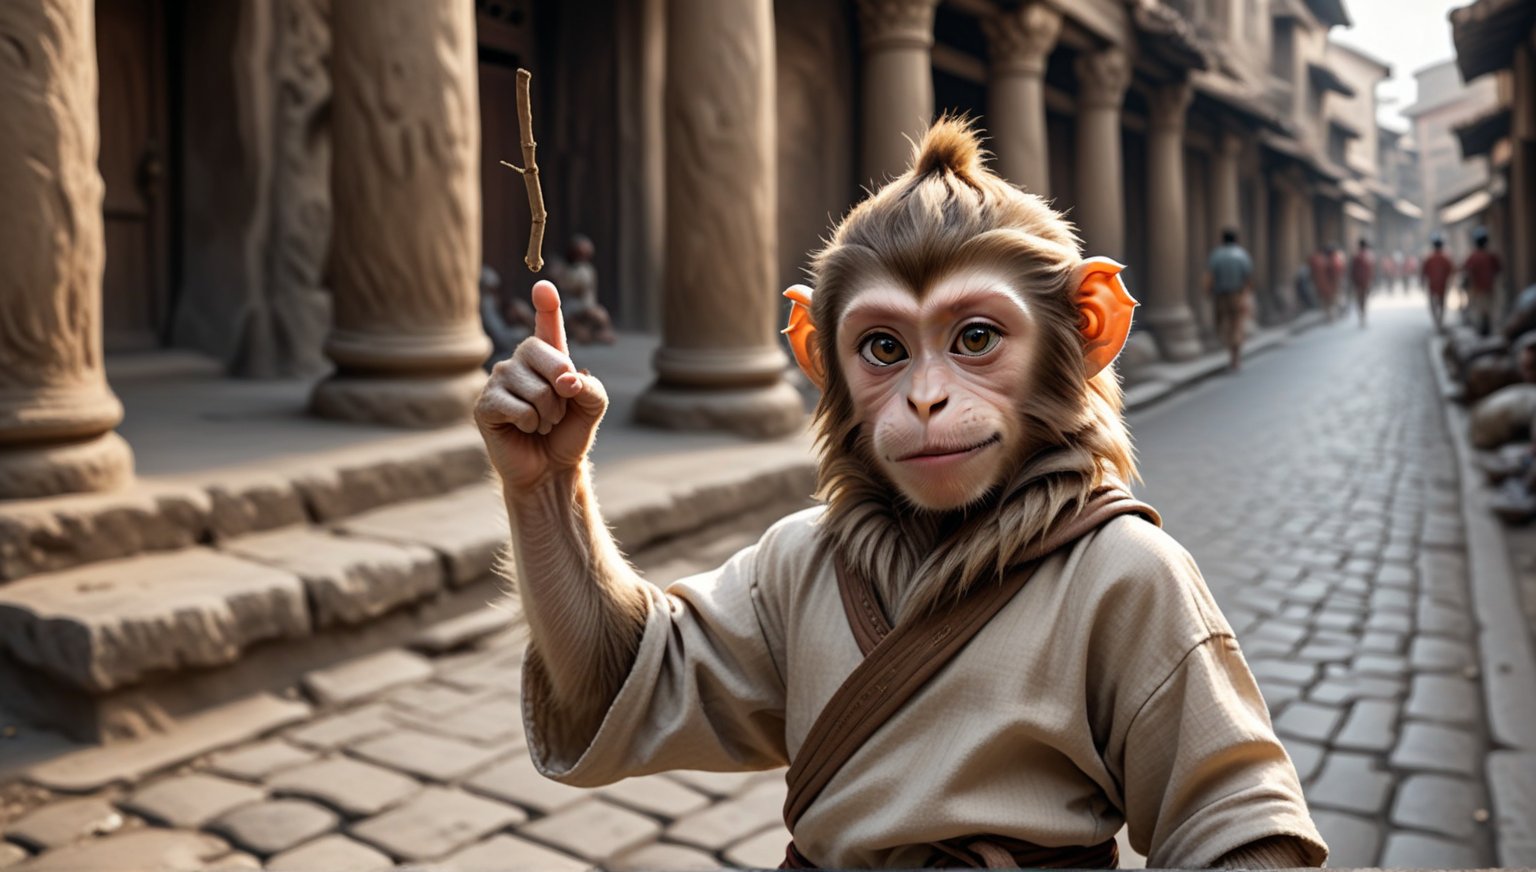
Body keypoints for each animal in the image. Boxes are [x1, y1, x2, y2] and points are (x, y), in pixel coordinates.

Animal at [473, 117, 1327, 872]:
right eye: (884, 348)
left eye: (975, 338)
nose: (923, 402)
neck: (951, 533)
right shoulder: (785, 552)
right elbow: (630, 666)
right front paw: (543, 424)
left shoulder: (1158, 592)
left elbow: (1221, 820)